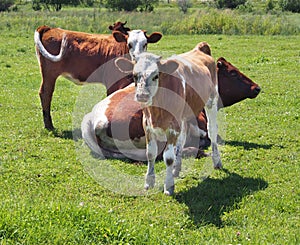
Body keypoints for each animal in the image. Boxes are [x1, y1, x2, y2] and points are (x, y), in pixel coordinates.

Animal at [34, 21, 162, 130]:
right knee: (46, 93)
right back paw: (49, 125)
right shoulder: (112, 83)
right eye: (129, 44)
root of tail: (49, 28)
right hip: (50, 73)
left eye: (145, 43)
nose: (137, 58)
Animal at [83, 42, 221, 195]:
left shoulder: (173, 127)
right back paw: (177, 169)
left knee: (212, 130)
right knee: (183, 138)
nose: (142, 95)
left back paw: (216, 161)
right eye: (134, 76)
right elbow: (150, 153)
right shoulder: (147, 125)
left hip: (211, 100)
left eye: (156, 76)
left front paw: (169, 186)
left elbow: (168, 157)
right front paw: (149, 182)